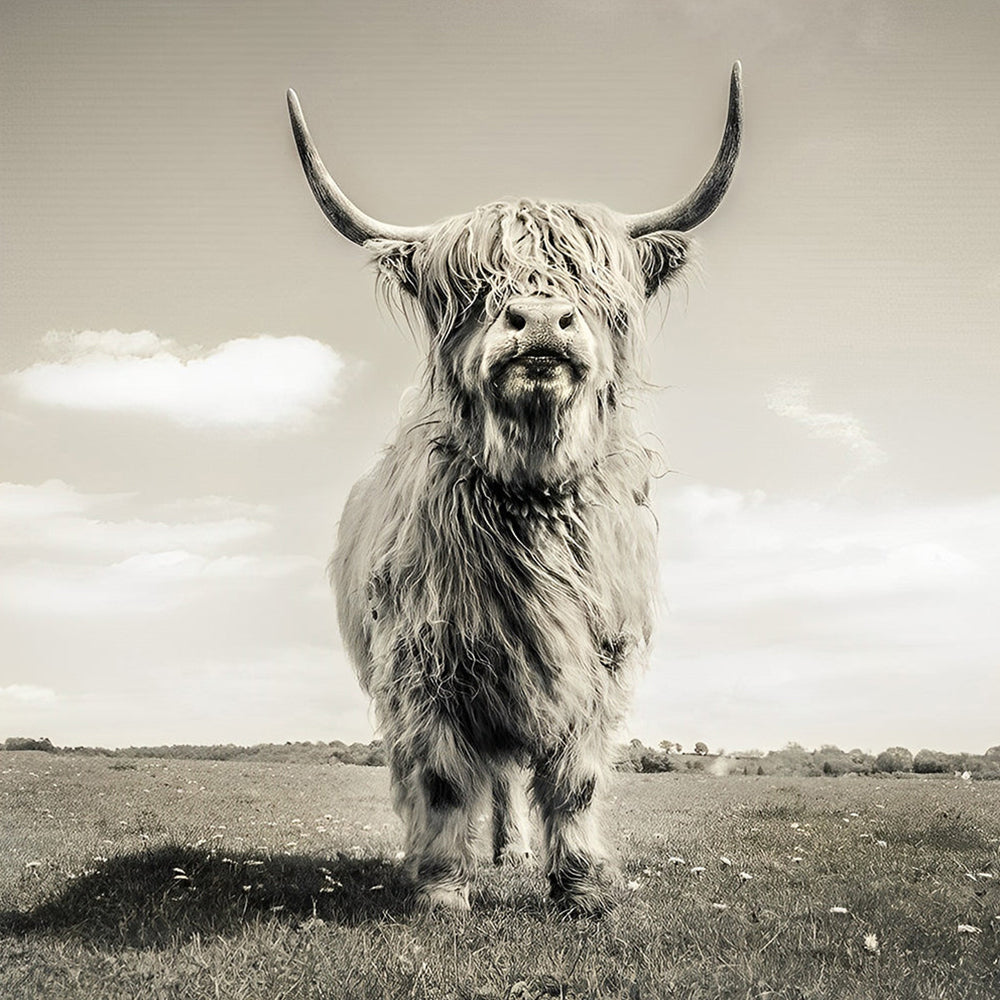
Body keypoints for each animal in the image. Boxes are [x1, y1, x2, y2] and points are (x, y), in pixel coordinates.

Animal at [287, 64, 742, 914]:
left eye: (595, 285)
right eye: (469, 288)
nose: (536, 322)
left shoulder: (598, 662)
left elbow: (576, 781)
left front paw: (581, 886)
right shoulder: (423, 665)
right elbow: (439, 779)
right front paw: (441, 887)